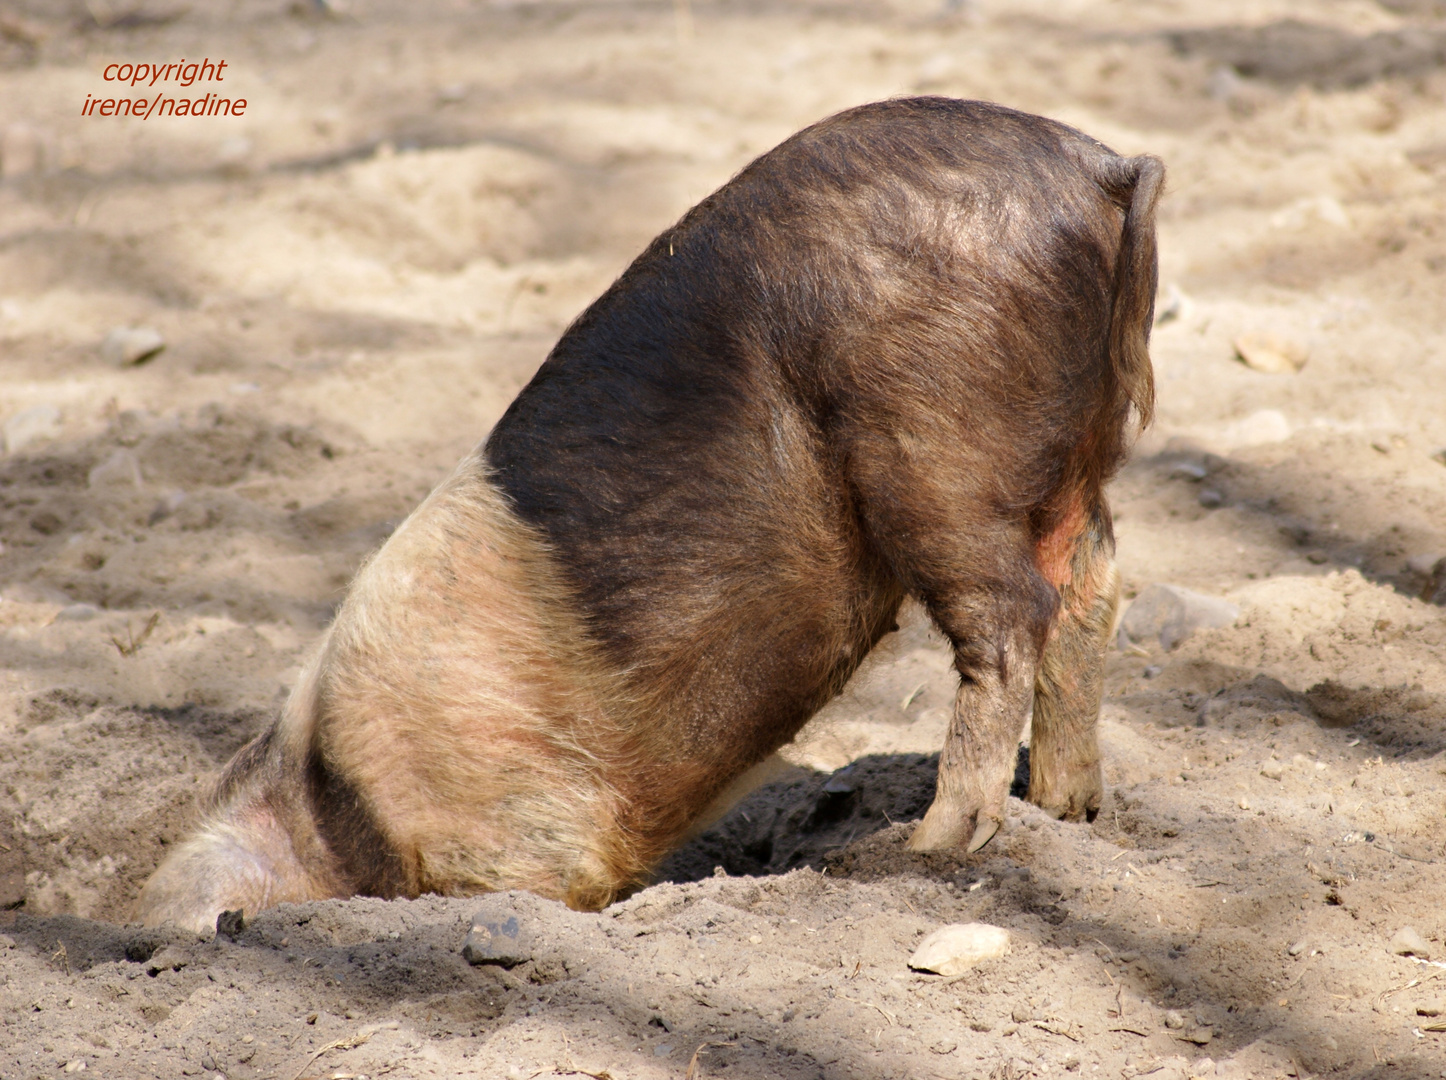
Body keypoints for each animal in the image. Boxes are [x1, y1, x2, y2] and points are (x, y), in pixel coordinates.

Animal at [135, 96, 1162, 931]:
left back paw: (929, 848)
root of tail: (1097, 167)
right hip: (1077, 445)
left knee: (1009, 617)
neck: (334, 795)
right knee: (1092, 584)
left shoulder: (518, 832)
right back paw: (1066, 812)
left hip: (937, 444)